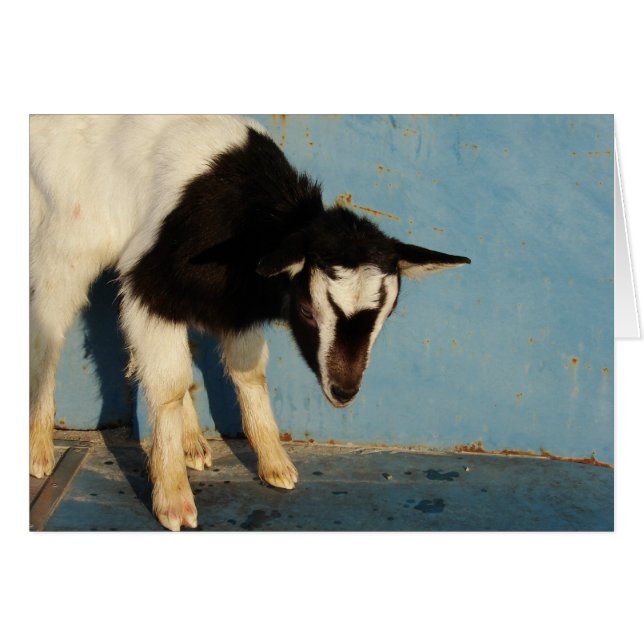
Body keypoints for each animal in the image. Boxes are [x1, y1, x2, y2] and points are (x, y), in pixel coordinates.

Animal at [29, 115, 470, 531]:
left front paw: (274, 463)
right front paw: (172, 497)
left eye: (386, 314)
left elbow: (248, 373)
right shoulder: (149, 284)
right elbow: (168, 386)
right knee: (46, 332)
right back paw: (38, 449)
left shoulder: (234, 304)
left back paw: (193, 444)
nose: (344, 392)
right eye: (306, 310)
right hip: (64, 244)